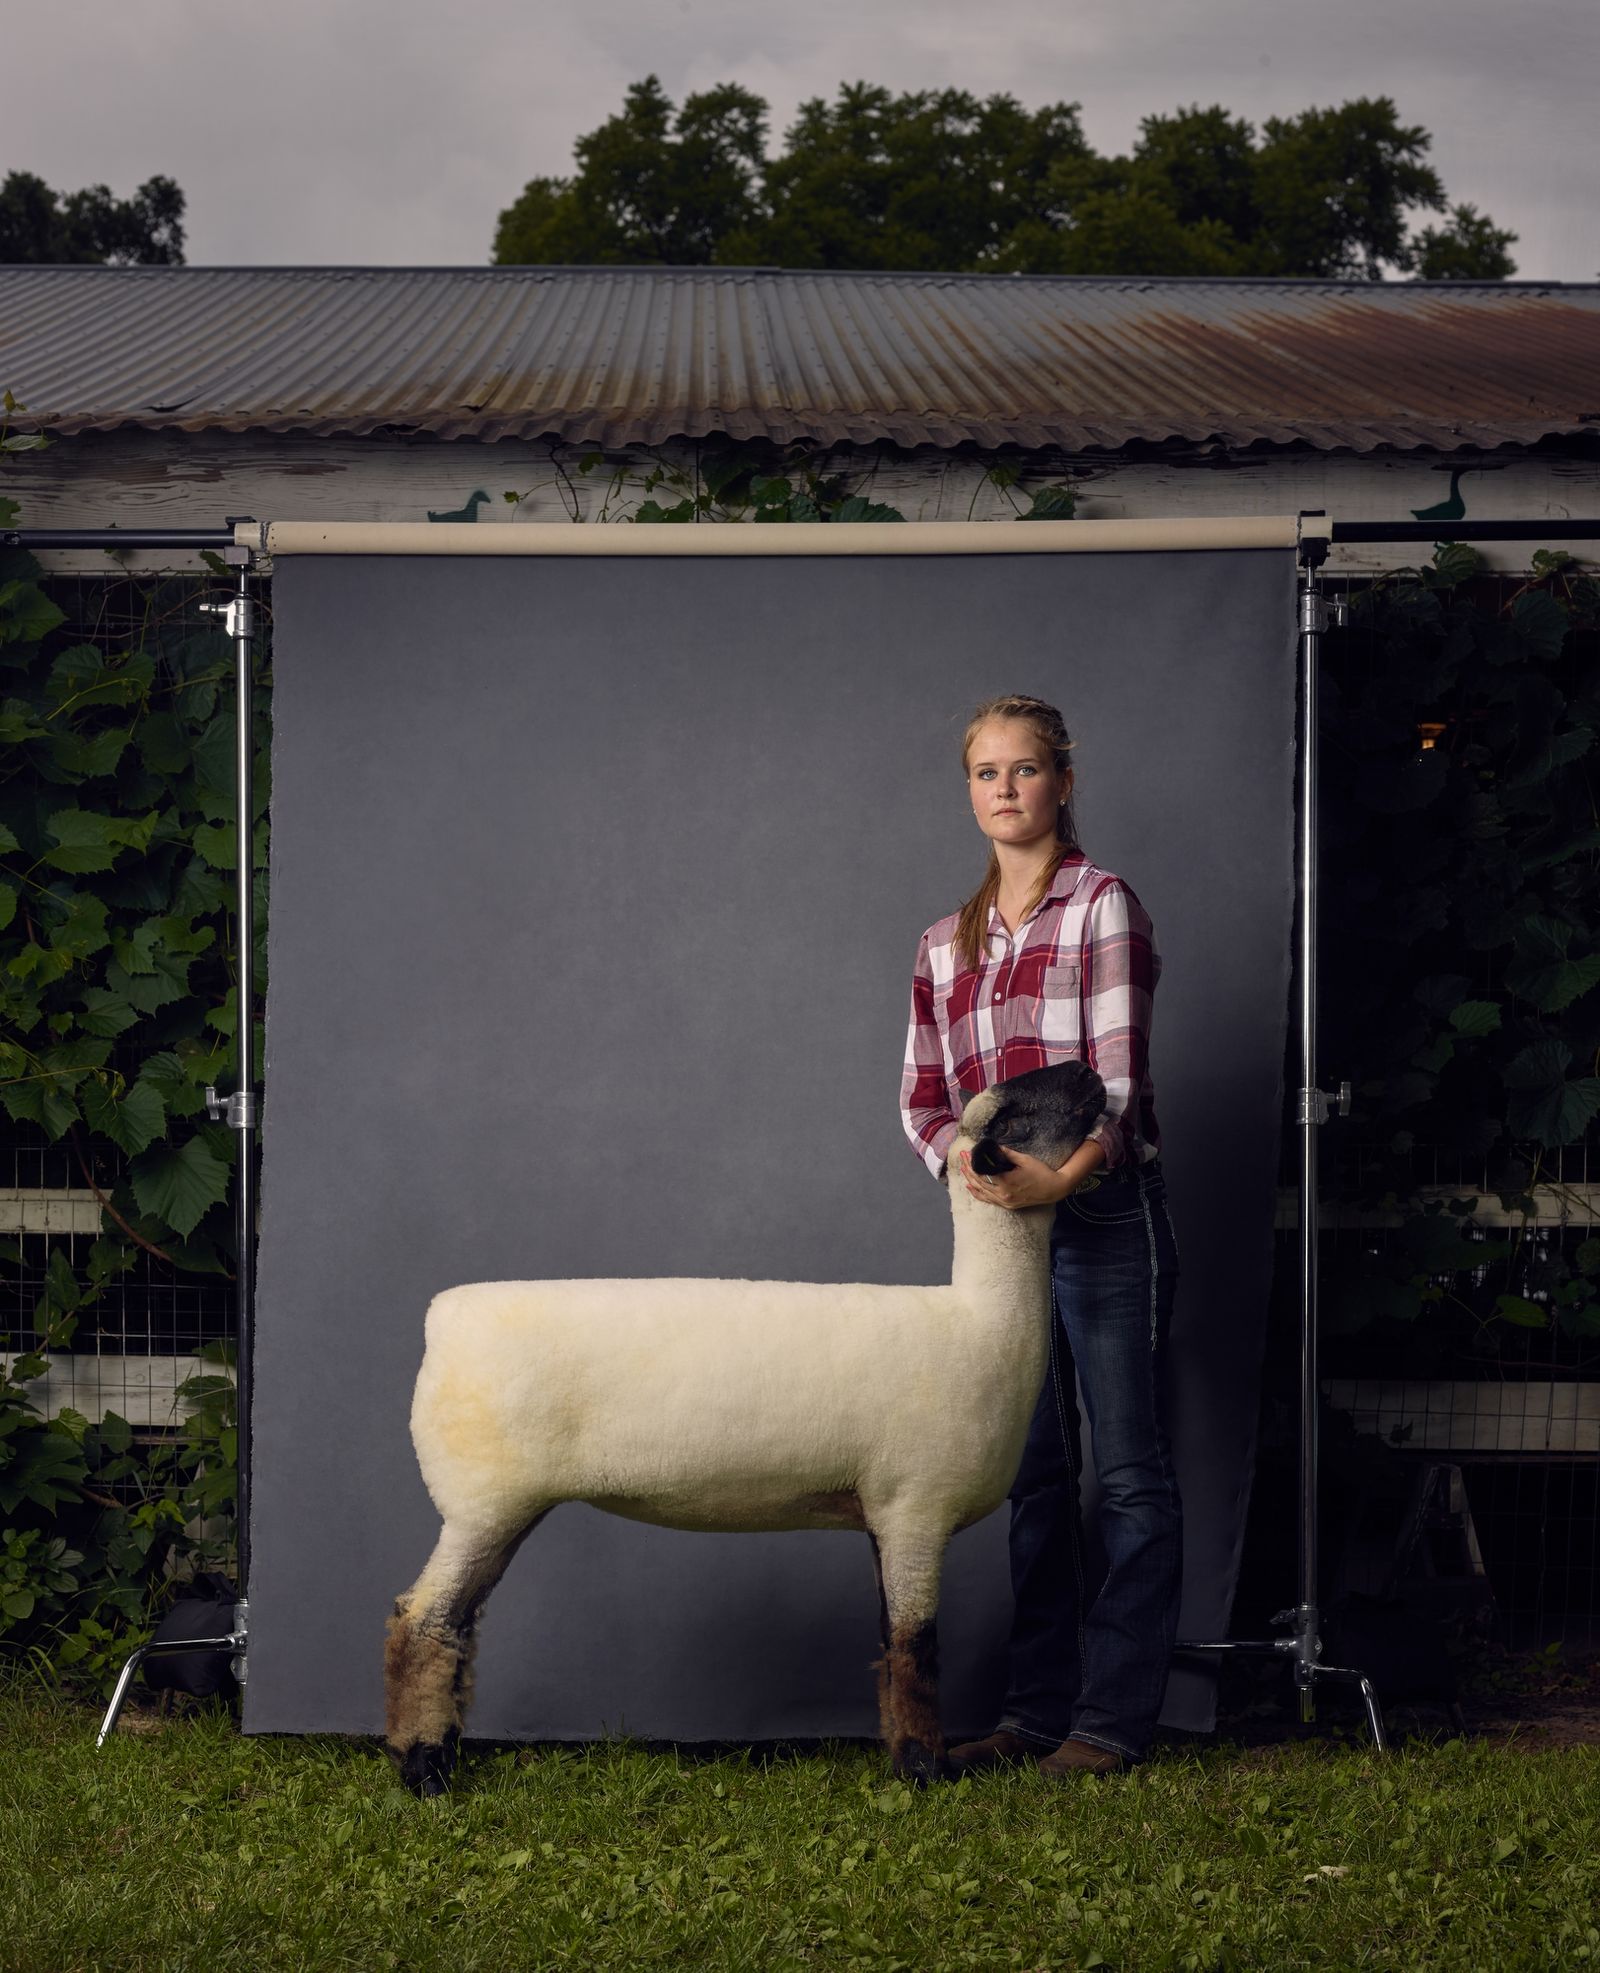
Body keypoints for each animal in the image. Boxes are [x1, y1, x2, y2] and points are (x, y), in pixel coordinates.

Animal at [380, 1057, 1104, 1799]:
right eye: (1011, 1115)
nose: (1086, 1069)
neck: (982, 1323)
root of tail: (443, 1319)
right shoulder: (914, 1506)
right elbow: (915, 1647)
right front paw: (923, 1771)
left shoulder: (883, 1512)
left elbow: (888, 1641)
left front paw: (908, 1759)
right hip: (483, 1500)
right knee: (422, 1621)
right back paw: (423, 1771)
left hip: (500, 1506)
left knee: (455, 1625)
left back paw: (441, 1755)